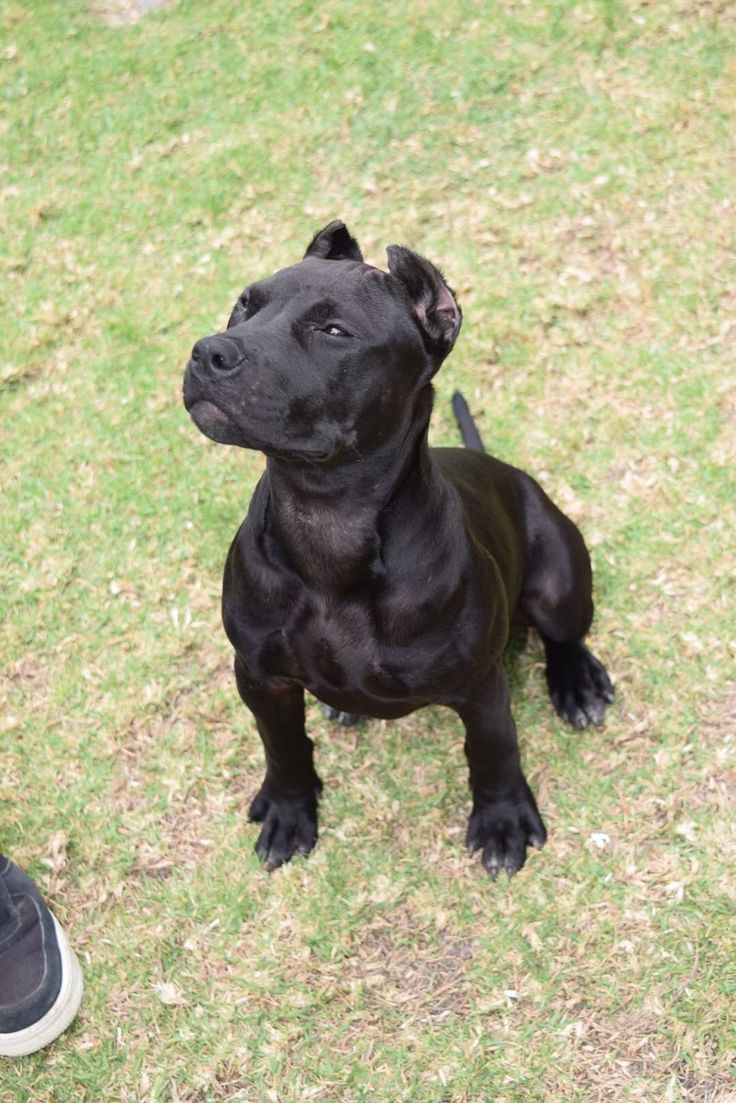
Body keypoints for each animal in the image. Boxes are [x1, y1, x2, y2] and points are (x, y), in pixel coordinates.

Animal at [183, 219, 609, 877]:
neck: (327, 516)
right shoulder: (260, 677)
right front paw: (288, 808)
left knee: (565, 632)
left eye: (334, 331)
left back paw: (577, 684)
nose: (210, 352)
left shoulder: (480, 687)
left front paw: (502, 820)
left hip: (558, 582)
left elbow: (493, 749)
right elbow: (283, 746)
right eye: (244, 306)